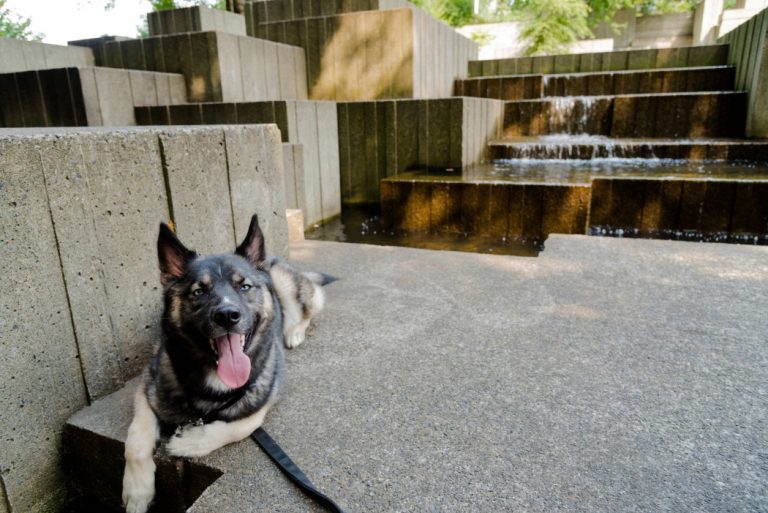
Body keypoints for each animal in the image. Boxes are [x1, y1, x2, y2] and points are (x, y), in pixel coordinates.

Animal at [121, 214, 332, 512]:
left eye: (244, 286)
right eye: (198, 291)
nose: (227, 315)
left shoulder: (263, 398)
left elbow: (239, 426)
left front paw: (190, 442)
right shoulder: (147, 386)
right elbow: (136, 440)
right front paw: (137, 491)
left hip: (286, 283)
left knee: (307, 309)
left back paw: (294, 332)